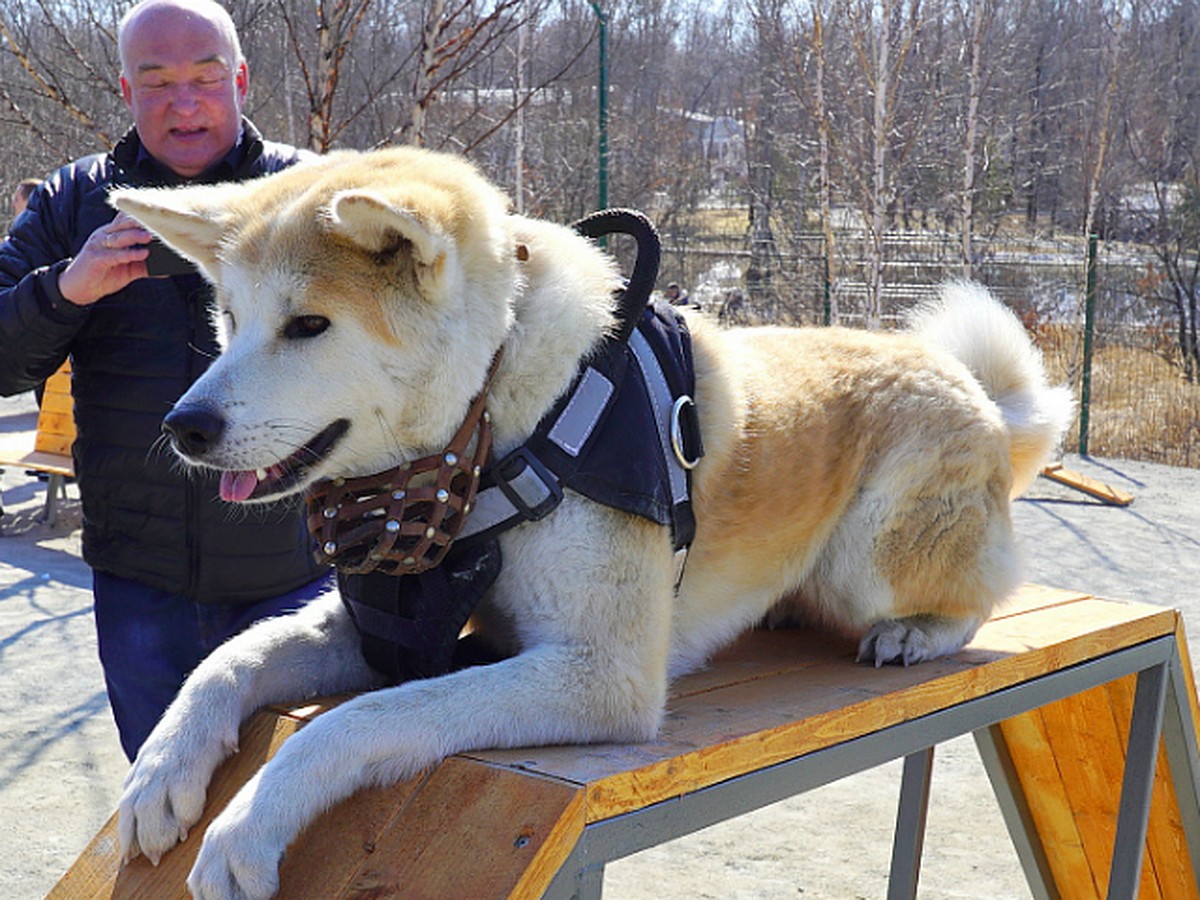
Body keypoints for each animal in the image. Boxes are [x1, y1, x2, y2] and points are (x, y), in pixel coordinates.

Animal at [110, 144, 1070, 897]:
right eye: (230, 319)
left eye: (309, 325)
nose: (184, 426)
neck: (490, 428)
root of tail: (976, 390)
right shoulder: (375, 626)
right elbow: (230, 658)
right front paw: (159, 773)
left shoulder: (600, 674)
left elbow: (357, 721)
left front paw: (246, 829)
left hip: (870, 557)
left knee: (981, 595)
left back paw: (915, 633)